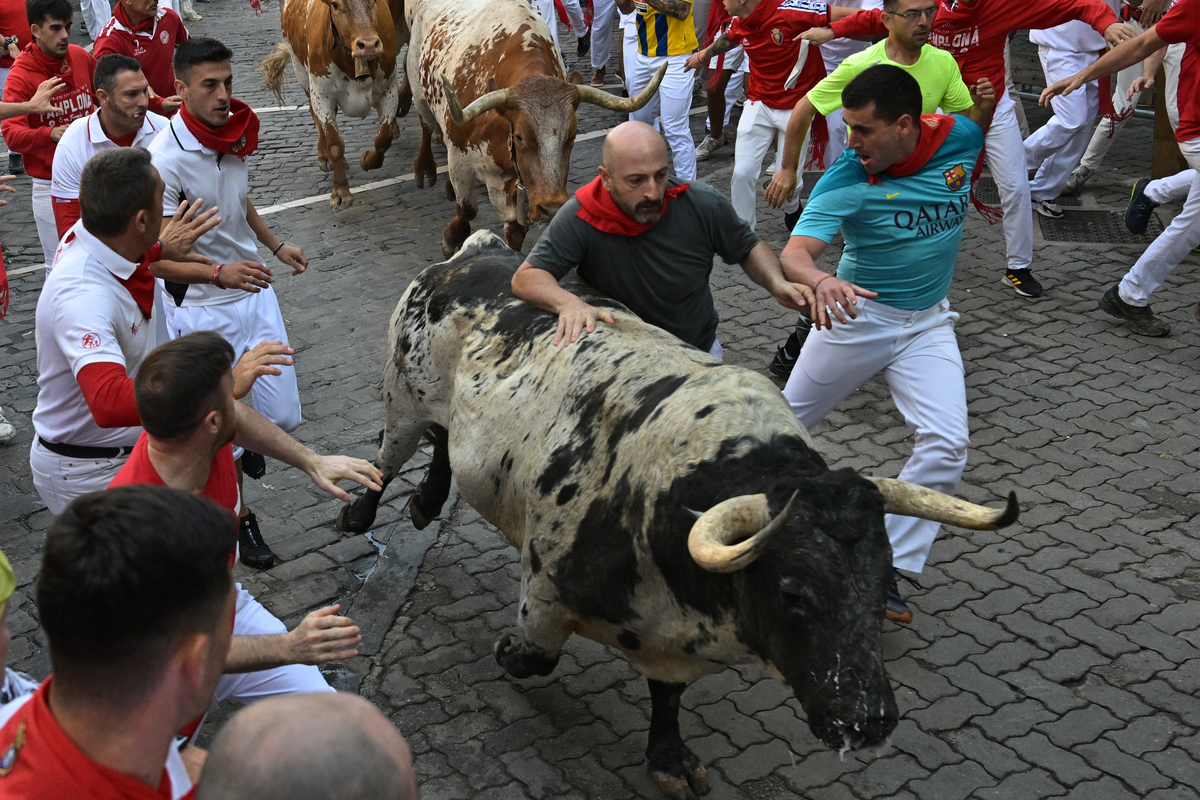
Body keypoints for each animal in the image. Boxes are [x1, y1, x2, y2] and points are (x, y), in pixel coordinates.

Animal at [336, 230, 1012, 796]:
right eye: (794, 592)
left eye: (882, 582)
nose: (867, 719)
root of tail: (478, 251)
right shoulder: (545, 588)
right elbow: (533, 655)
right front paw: (506, 651)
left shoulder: (673, 636)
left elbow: (667, 696)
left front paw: (668, 757)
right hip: (402, 395)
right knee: (388, 456)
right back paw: (365, 513)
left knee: (444, 441)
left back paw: (425, 504)